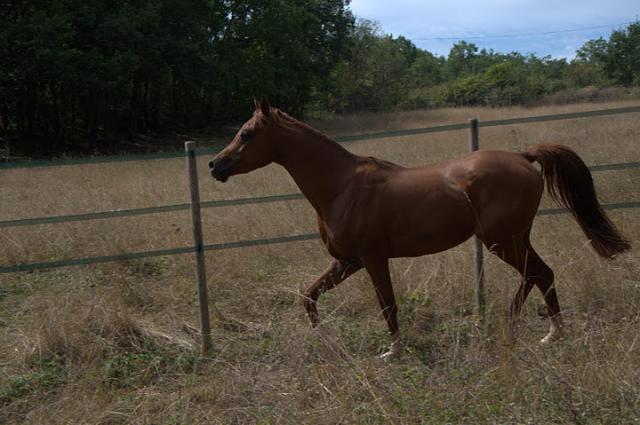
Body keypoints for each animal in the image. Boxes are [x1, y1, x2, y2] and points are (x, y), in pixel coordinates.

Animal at [210, 97, 632, 356]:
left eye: (247, 133)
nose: (216, 165)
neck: (341, 186)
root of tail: (522, 156)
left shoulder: (373, 259)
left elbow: (388, 305)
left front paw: (393, 351)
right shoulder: (347, 262)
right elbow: (310, 296)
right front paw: (323, 336)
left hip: (502, 240)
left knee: (541, 273)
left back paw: (546, 332)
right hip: (511, 239)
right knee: (537, 275)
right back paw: (522, 326)